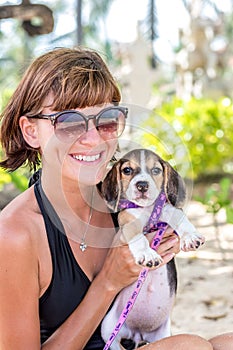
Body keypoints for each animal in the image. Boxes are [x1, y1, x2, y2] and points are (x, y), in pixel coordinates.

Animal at [101, 148, 205, 350]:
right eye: (127, 170)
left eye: (156, 170)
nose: (142, 185)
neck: (147, 210)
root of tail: (137, 333)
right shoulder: (128, 221)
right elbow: (139, 238)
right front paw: (147, 254)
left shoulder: (169, 210)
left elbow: (181, 219)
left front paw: (190, 237)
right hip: (107, 328)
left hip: (162, 335)